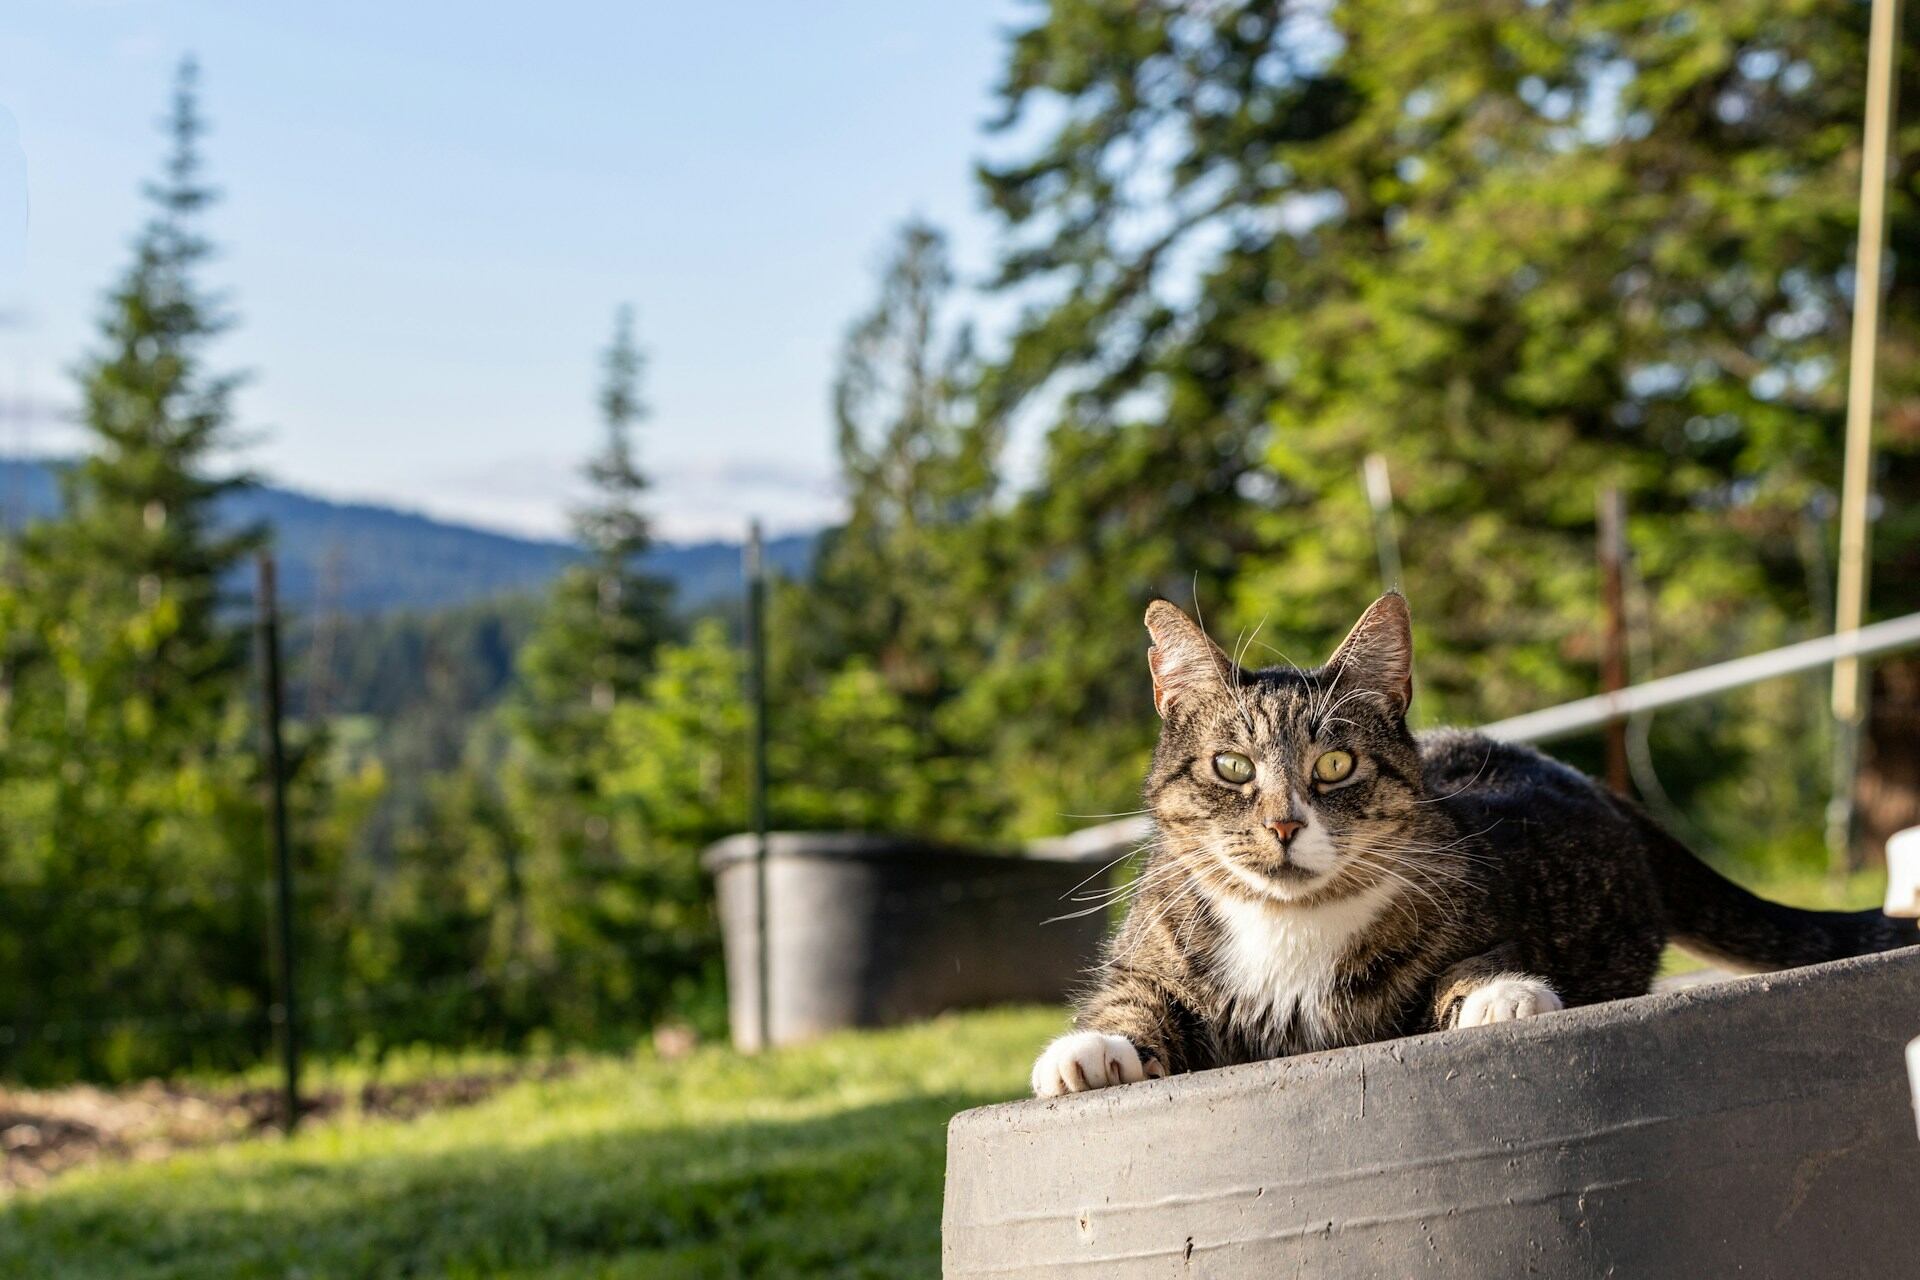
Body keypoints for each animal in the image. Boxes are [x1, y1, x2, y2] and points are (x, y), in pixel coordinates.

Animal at [1036, 594, 1920, 1097]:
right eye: (1232, 766)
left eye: (1335, 764)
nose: (1285, 826)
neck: (1289, 925)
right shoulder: (1150, 961)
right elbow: (1133, 1001)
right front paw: (1089, 1050)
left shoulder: (1477, 922)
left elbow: (1465, 968)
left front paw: (1501, 995)